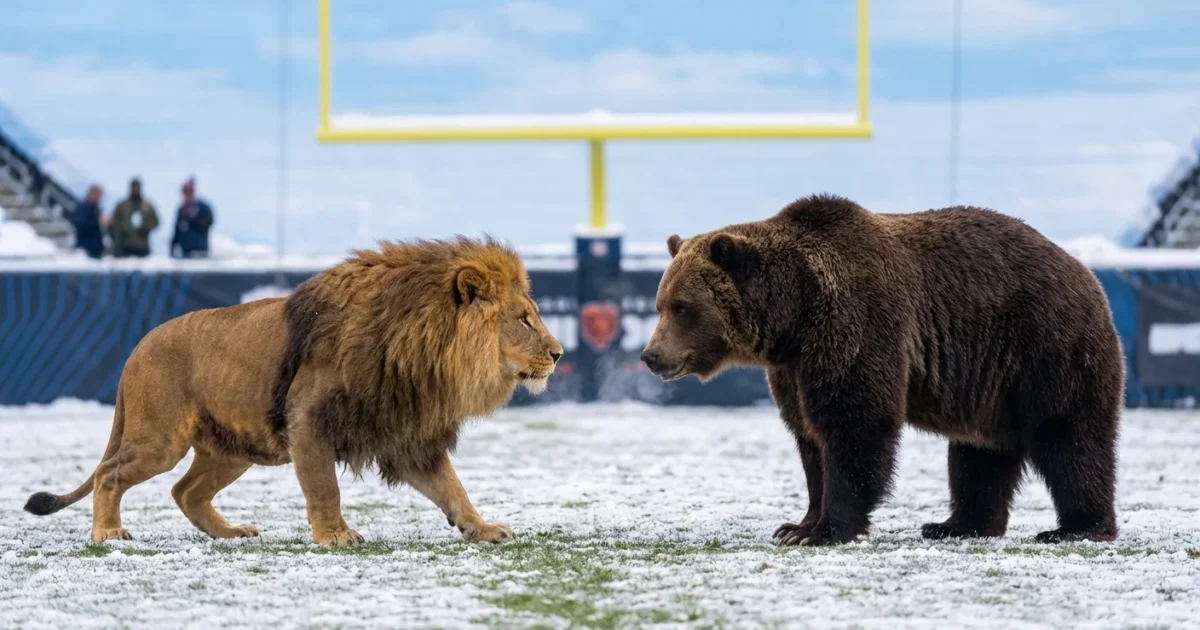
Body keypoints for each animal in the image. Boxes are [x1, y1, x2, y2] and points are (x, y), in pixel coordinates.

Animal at [23, 236, 564, 546]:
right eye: (524, 319)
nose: (559, 353)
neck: (420, 346)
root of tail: (136, 347)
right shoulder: (309, 423)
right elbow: (325, 488)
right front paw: (336, 536)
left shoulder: (406, 436)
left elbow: (453, 488)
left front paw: (481, 528)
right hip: (160, 439)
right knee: (109, 474)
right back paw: (108, 532)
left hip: (232, 449)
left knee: (184, 490)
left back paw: (231, 533)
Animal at [640, 193, 1124, 546]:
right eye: (660, 303)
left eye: (683, 307)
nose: (651, 355)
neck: (795, 315)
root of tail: (1089, 276)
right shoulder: (793, 369)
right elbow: (810, 439)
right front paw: (796, 526)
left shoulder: (856, 325)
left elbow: (855, 424)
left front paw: (825, 530)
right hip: (988, 382)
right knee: (978, 453)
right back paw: (955, 524)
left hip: (1045, 347)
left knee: (1068, 436)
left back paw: (1076, 528)